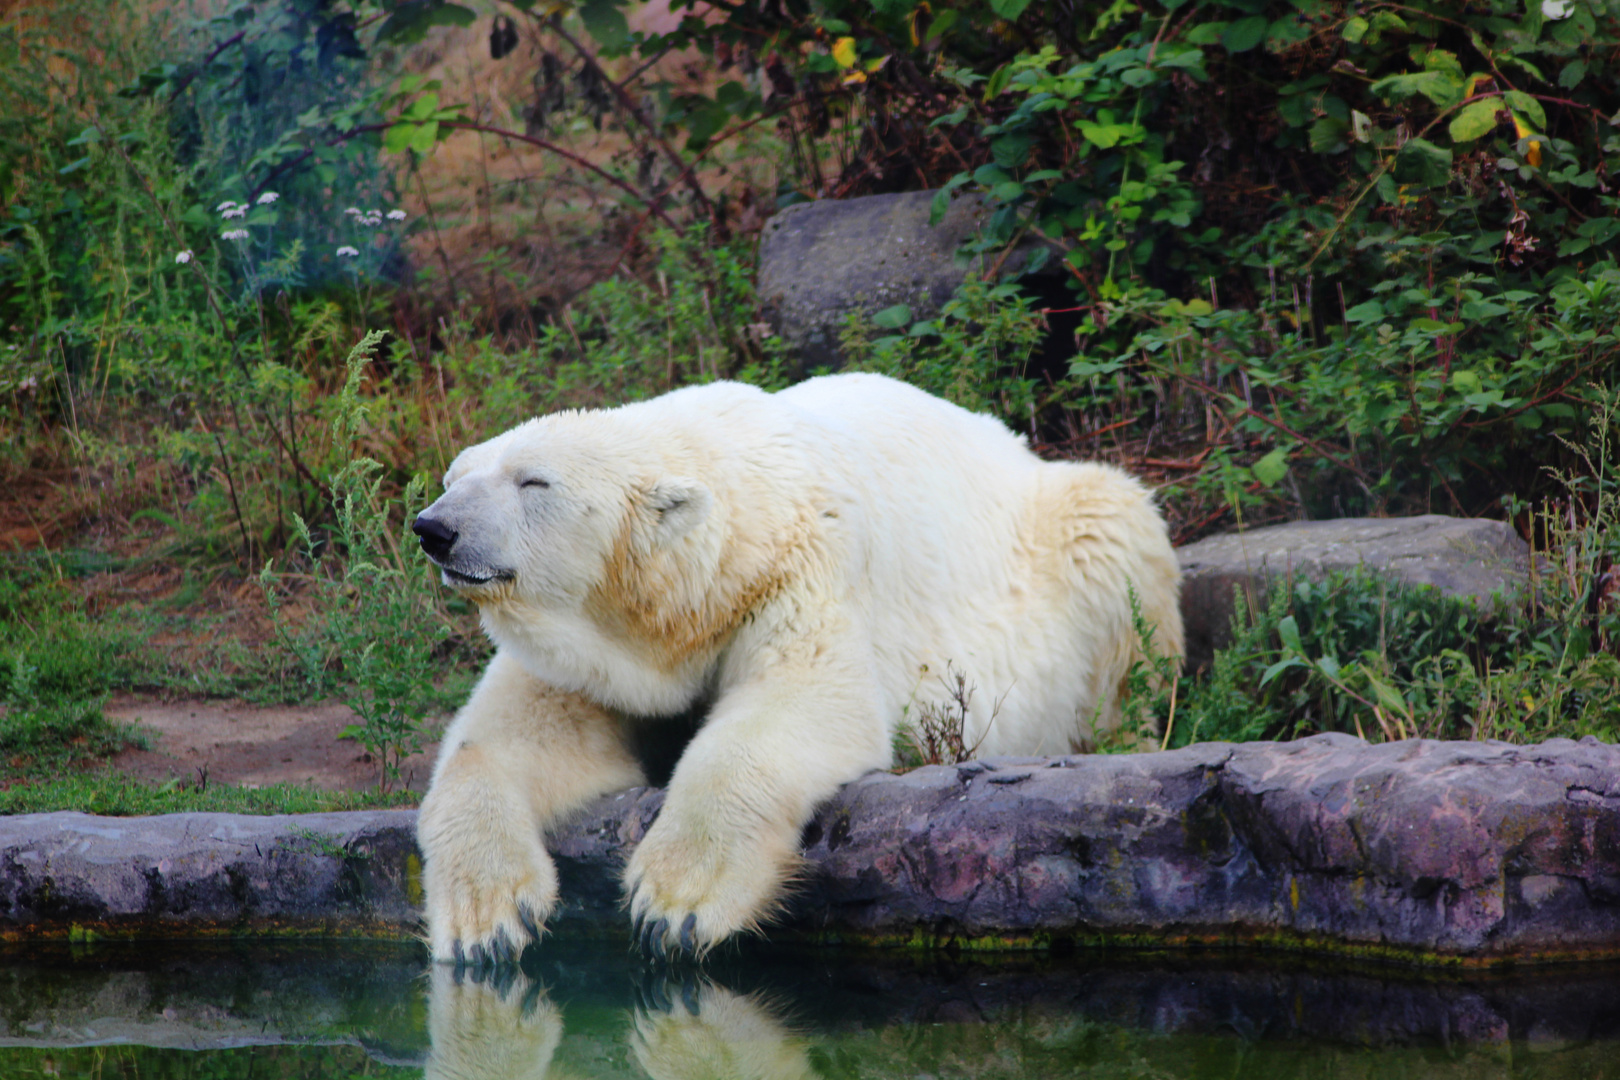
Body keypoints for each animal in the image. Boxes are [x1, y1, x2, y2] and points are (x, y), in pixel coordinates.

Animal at [411, 372, 1185, 965]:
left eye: (533, 482)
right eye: (455, 475)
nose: (434, 527)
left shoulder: (803, 572)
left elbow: (801, 703)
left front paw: (675, 904)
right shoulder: (589, 656)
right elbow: (512, 738)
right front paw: (485, 921)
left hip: (1074, 536)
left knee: (1117, 554)